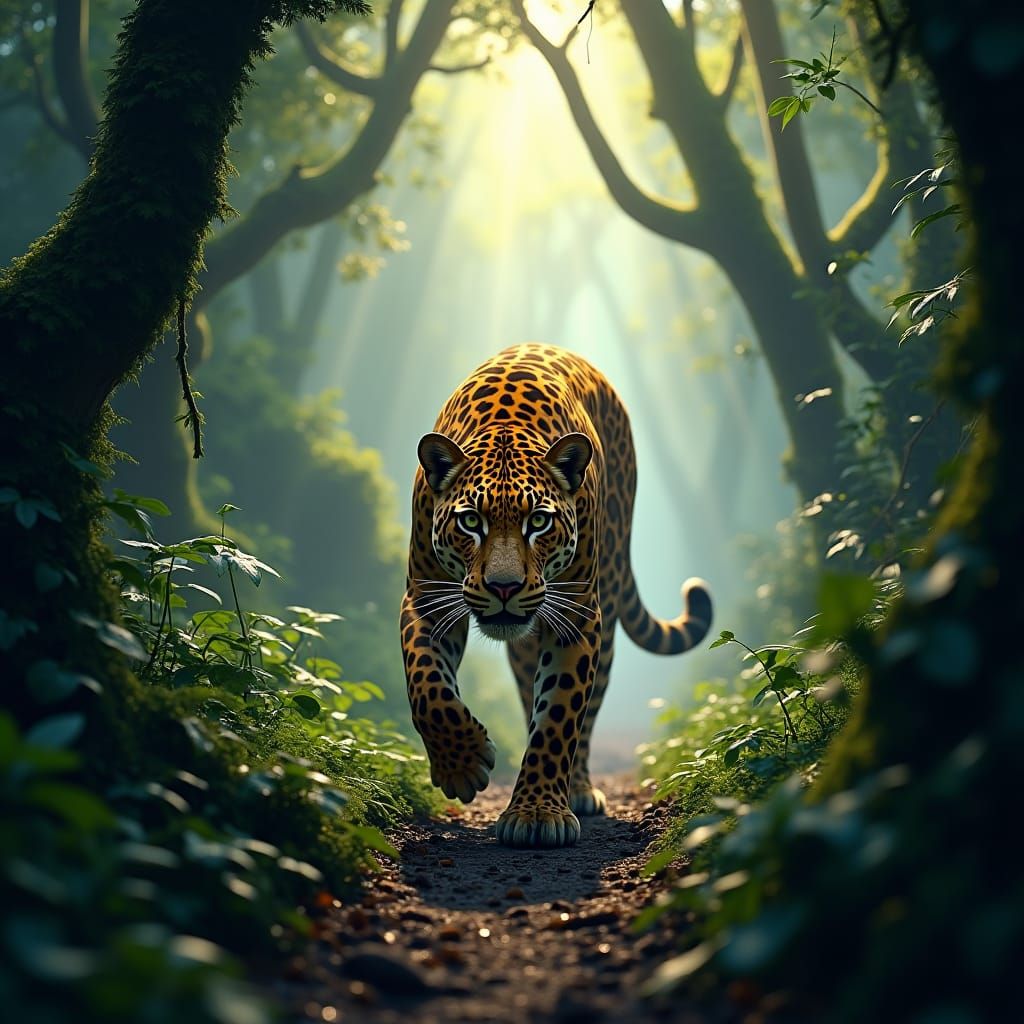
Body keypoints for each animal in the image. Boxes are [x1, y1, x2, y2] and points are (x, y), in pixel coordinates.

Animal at [400, 344, 712, 848]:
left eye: (539, 522)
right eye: (471, 521)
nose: (504, 587)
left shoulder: (579, 617)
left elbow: (560, 717)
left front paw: (537, 813)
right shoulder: (426, 599)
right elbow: (427, 687)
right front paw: (461, 765)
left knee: (588, 709)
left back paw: (579, 789)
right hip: (524, 645)